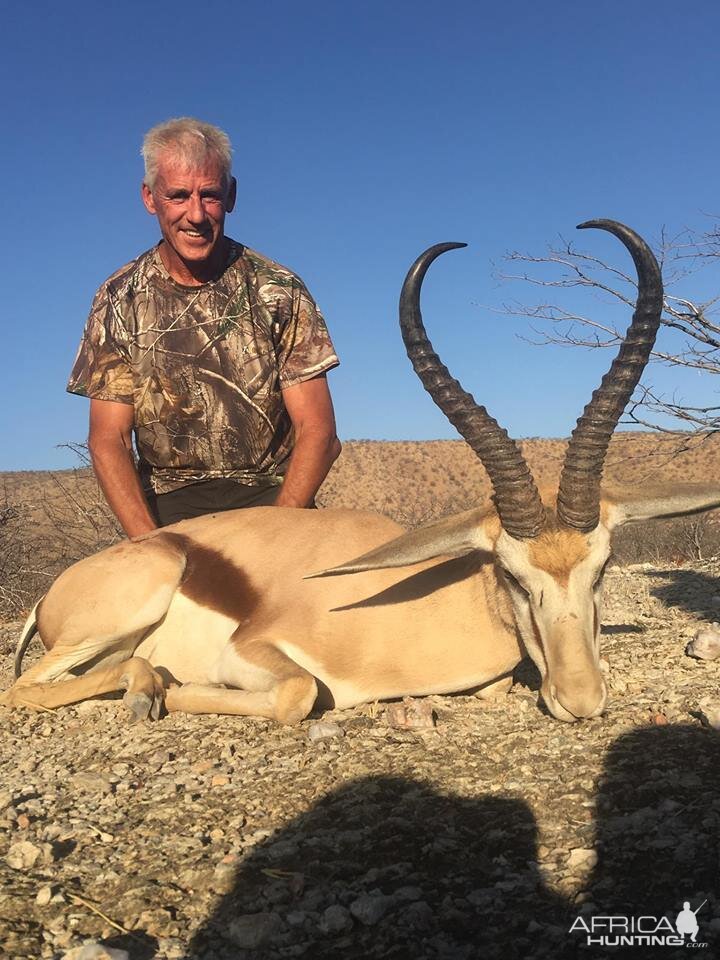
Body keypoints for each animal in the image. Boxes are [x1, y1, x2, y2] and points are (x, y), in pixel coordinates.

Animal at [4, 221, 720, 724]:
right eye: (512, 576)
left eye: (602, 568)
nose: (581, 699)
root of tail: (53, 593)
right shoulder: (255, 653)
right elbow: (300, 692)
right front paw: (173, 688)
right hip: (136, 597)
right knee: (27, 687)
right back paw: (144, 686)